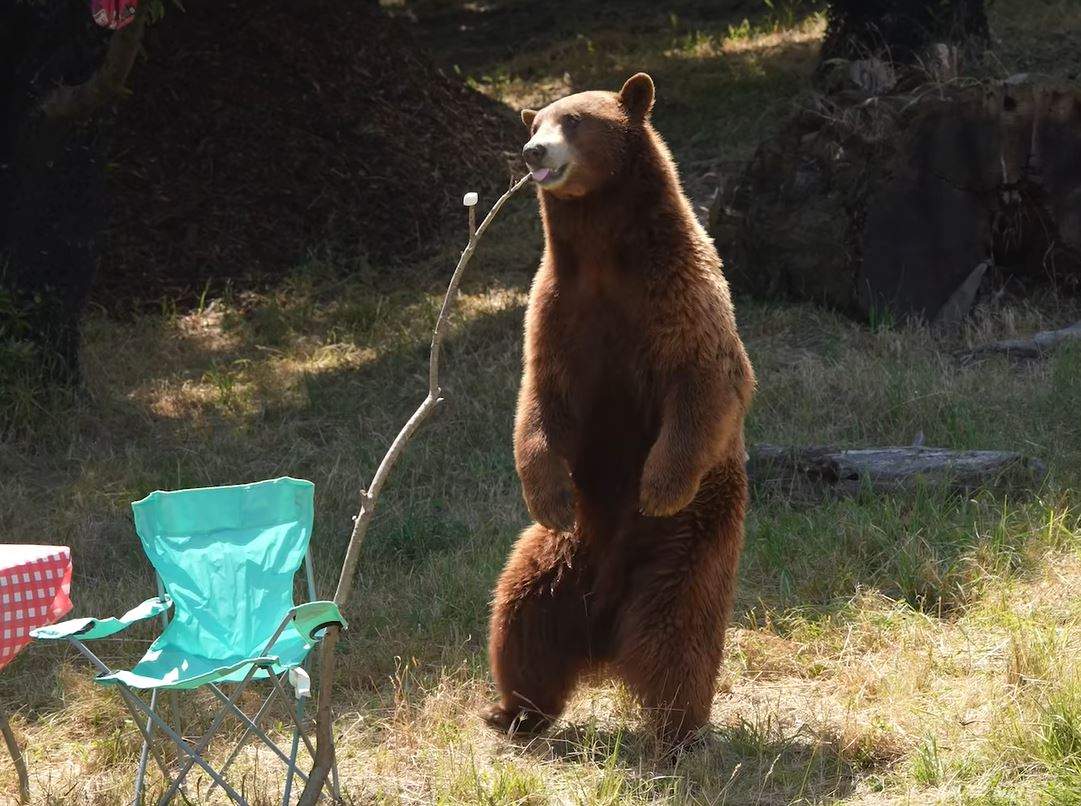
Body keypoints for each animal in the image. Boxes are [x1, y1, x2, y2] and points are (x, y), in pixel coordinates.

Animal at [482, 73, 756, 748]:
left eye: (576, 120)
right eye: (536, 123)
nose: (534, 152)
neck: (605, 255)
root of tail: (602, 634)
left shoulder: (677, 300)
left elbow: (706, 383)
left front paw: (657, 485)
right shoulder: (558, 309)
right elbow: (540, 403)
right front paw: (547, 494)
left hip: (688, 547)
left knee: (676, 637)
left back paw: (675, 733)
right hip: (555, 559)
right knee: (519, 622)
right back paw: (512, 712)